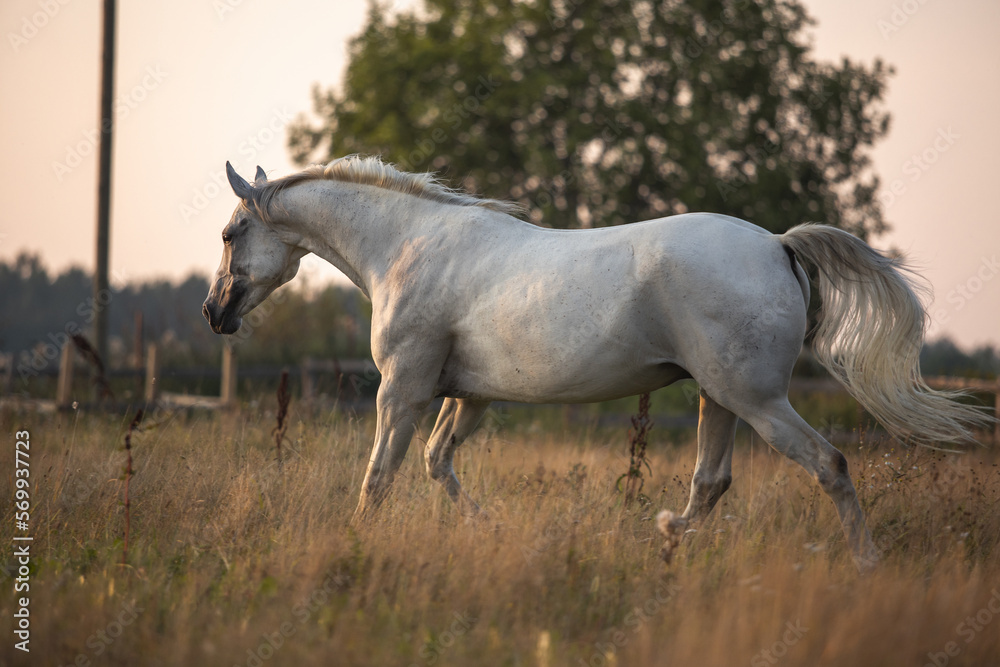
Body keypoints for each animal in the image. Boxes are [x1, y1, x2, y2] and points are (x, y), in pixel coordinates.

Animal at [203, 156, 990, 572]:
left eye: (231, 232)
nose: (214, 313)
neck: (406, 246)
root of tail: (777, 244)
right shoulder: (470, 396)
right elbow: (437, 464)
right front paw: (489, 529)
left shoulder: (403, 389)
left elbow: (379, 477)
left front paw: (355, 543)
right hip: (720, 398)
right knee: (711, 481)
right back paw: (666, 538)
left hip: (758, 400)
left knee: (829, 464)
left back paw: (867, 564)